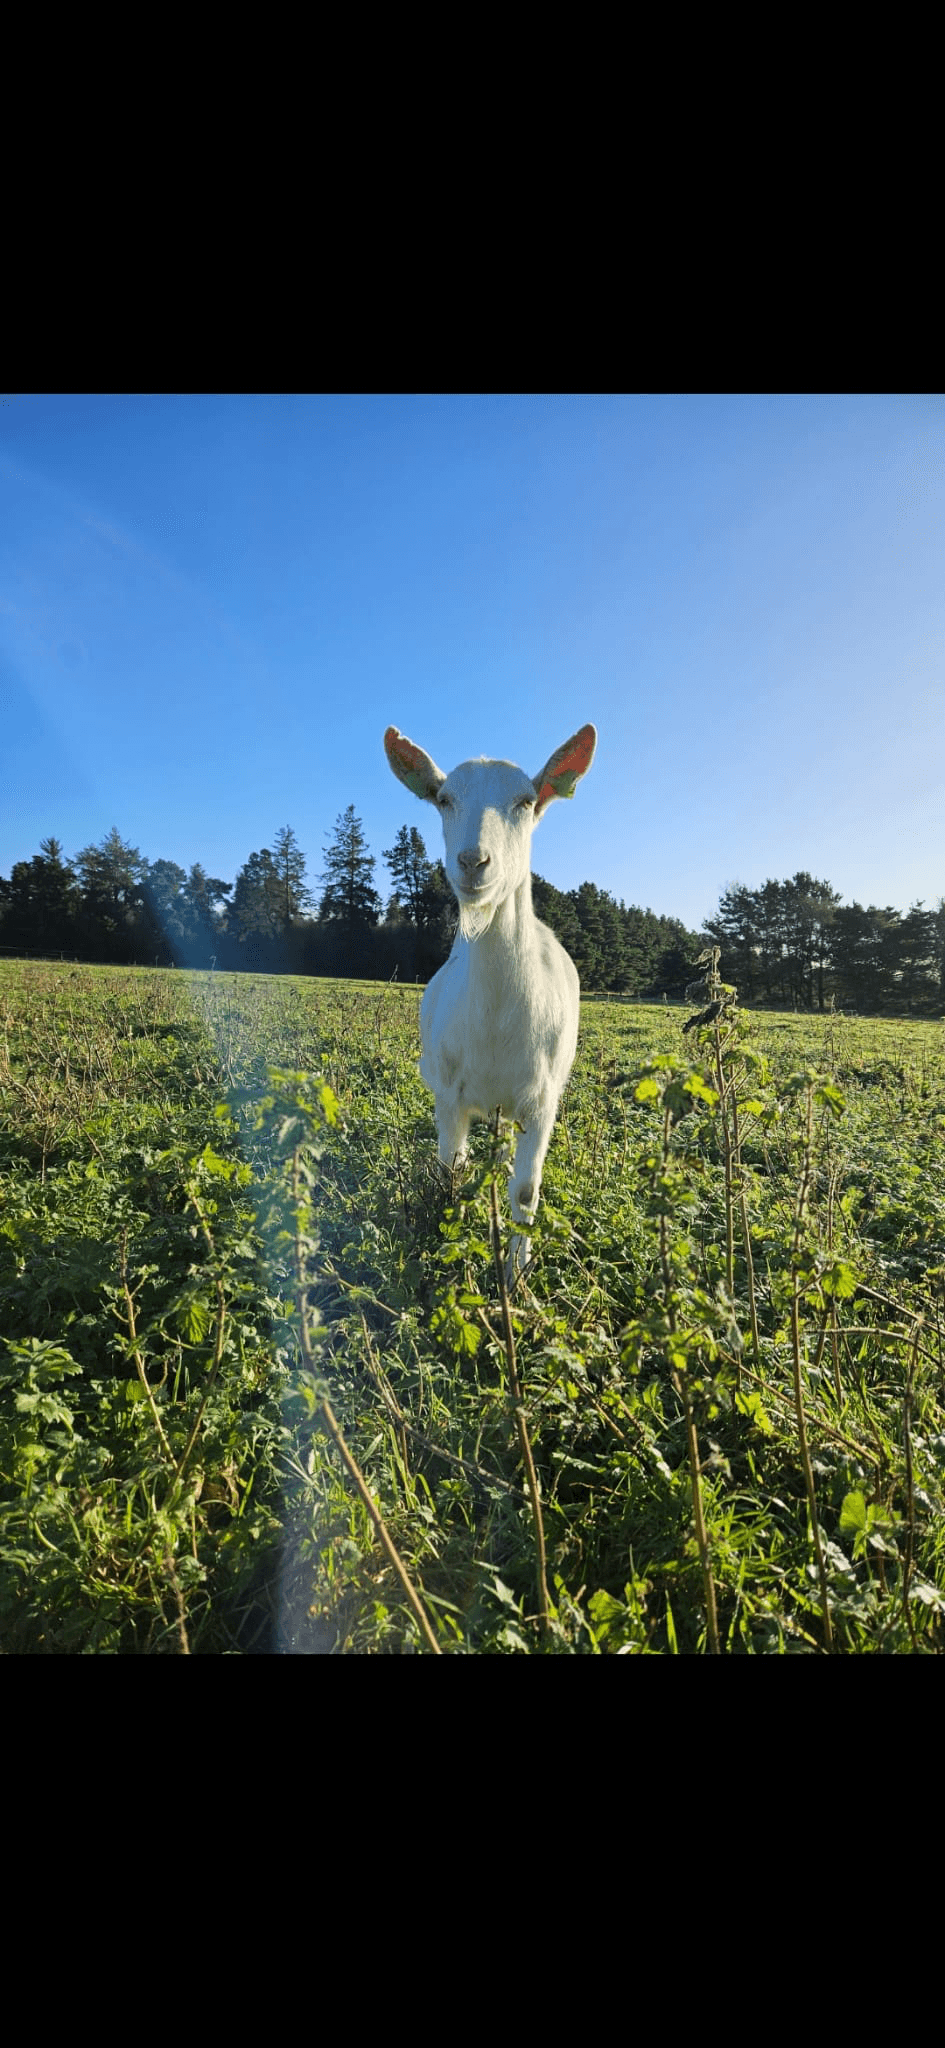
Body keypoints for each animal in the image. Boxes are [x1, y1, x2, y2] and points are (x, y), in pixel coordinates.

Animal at [384, 721, 597, 1284]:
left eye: (526, 801)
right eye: (443, 799)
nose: (473, 862)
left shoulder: (542, 1100)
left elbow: (525, 1190)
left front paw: (517, 1277)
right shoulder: (448, 1093)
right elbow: (449, 1168)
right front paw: (449, 1240)